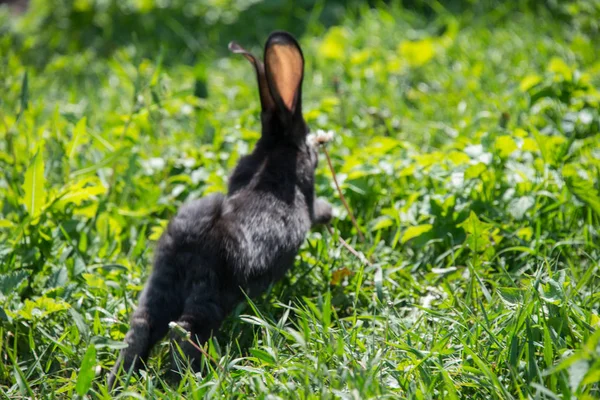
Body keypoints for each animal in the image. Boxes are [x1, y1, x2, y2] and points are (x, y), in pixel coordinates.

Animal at [107, 32, 332, 390]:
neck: (276, 149)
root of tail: (187, 244)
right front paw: (330, 212)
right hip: (212, 295)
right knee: (185, 331)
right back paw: (188, 379)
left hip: (160, 287)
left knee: (142, 326)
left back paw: (116, 381)